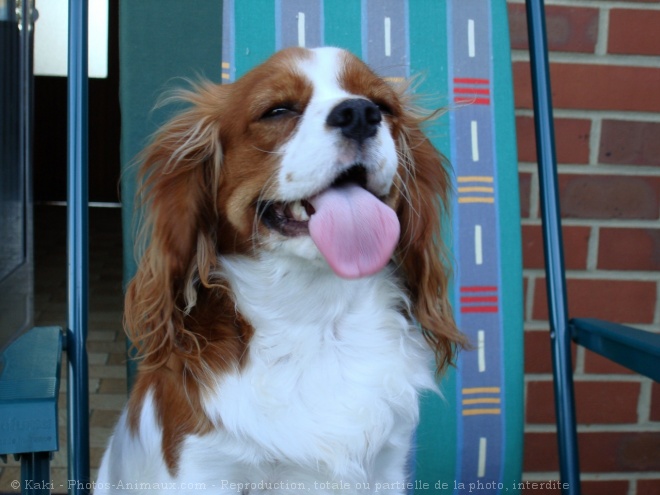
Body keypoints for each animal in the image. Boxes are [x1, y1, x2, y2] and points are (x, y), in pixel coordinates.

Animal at [96, 45, 464, 492]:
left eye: (382, 107)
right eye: (278, 110)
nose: (360, 113)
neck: (316, 321)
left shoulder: (387, 469)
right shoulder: (203, 470)